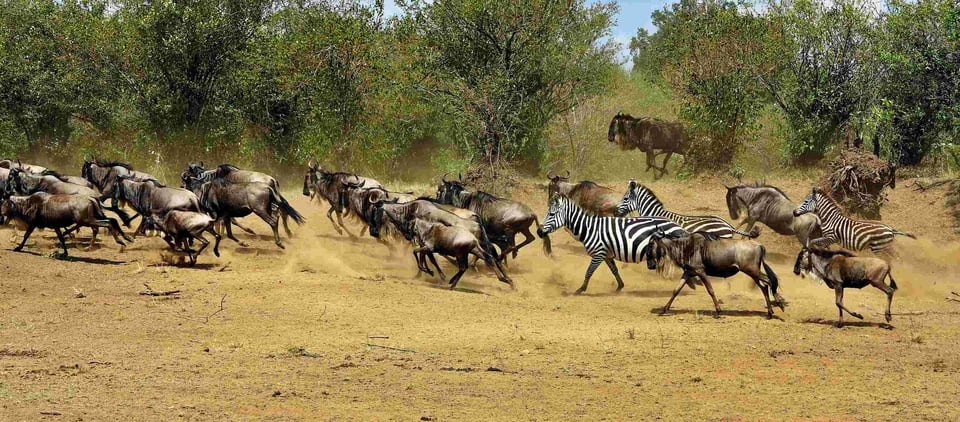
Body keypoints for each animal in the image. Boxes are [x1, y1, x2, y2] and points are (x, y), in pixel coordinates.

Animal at [536, 194, 684, 294]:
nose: (538, 231)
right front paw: (620, 287)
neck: (589, 228)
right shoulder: (606, 254)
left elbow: (589, 272)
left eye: (551, 214)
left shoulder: (598, 253)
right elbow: (614, 270)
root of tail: (677, 225)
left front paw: (581, 289)